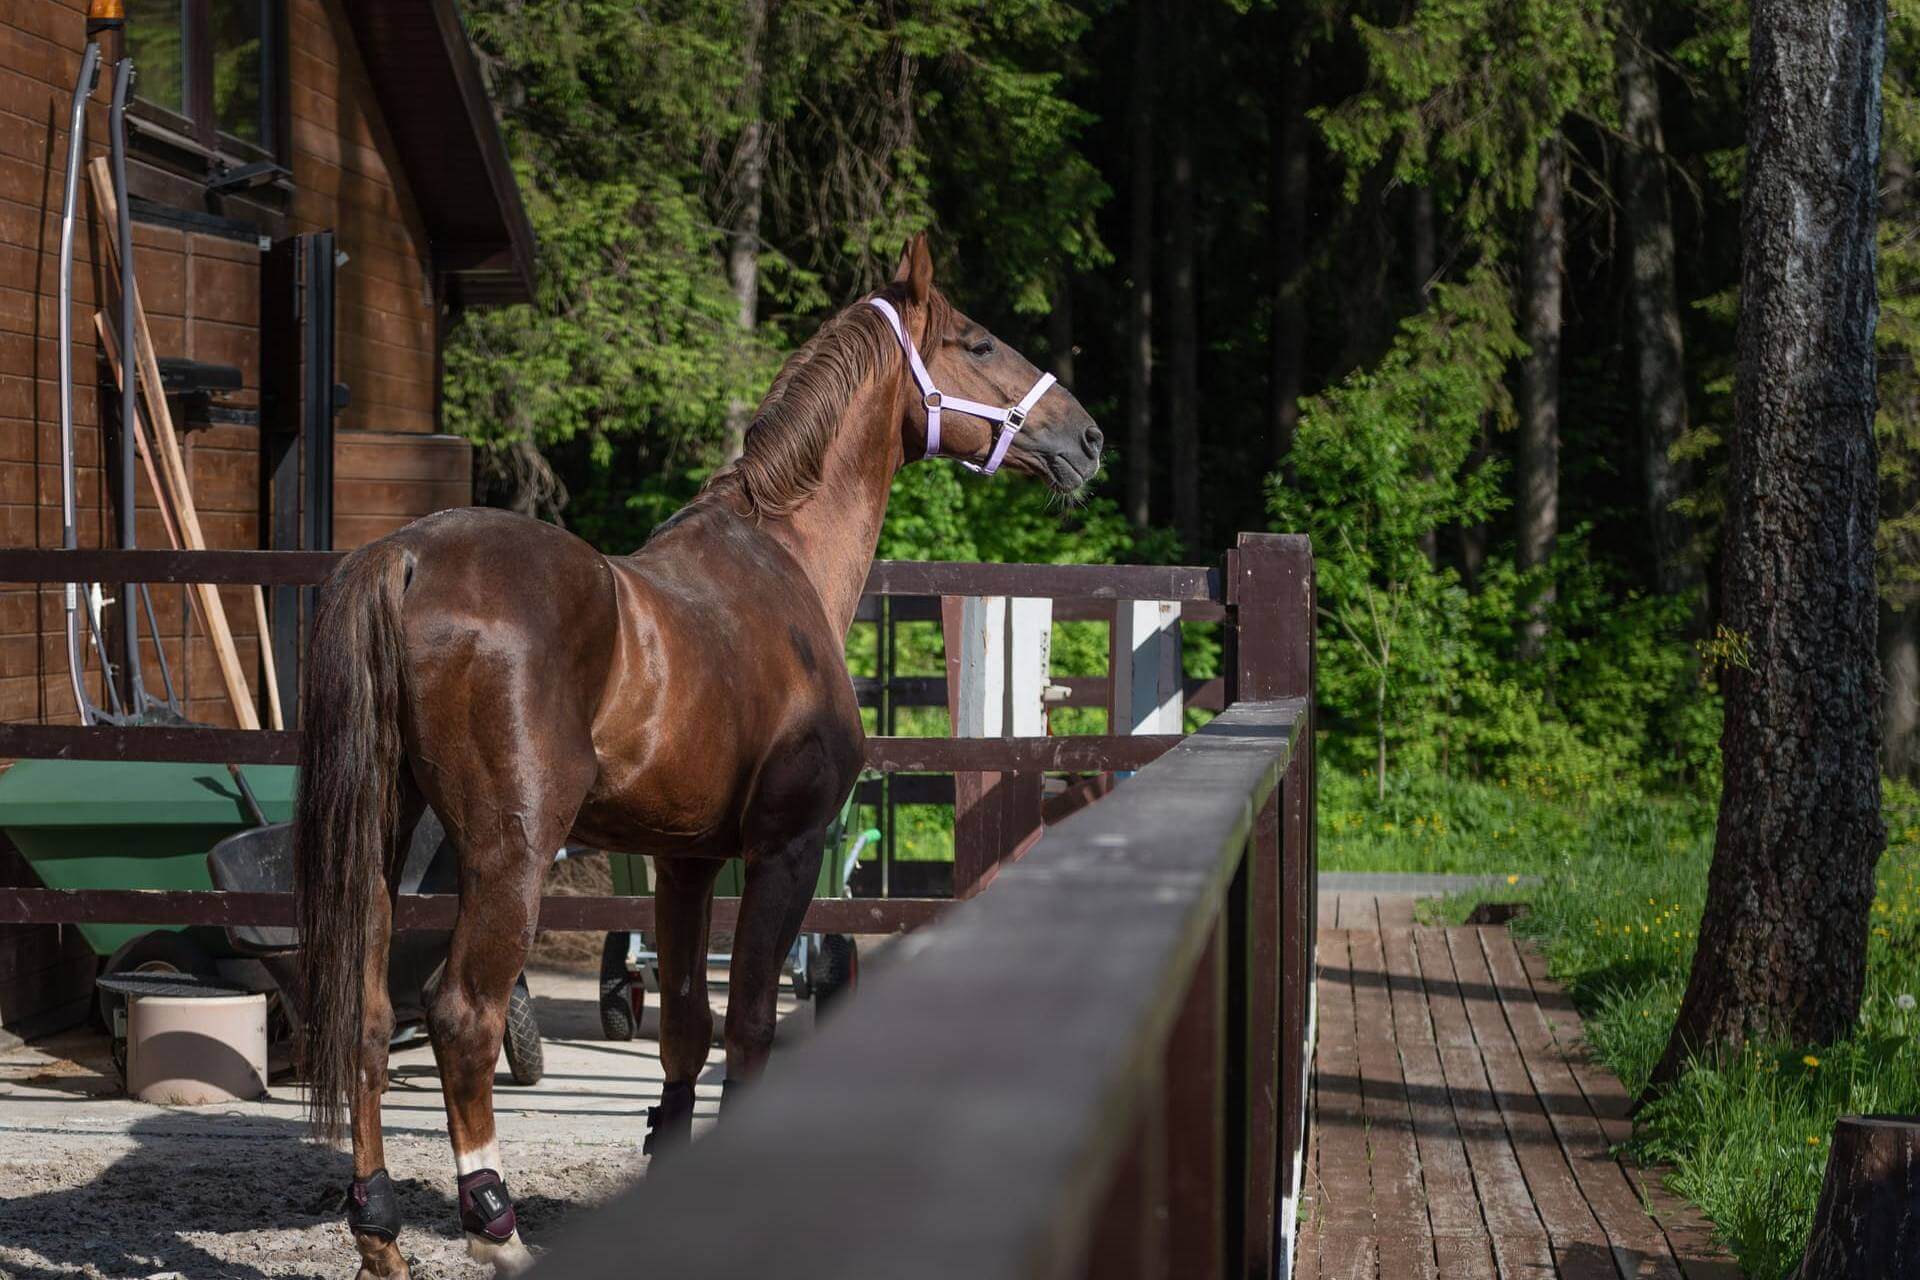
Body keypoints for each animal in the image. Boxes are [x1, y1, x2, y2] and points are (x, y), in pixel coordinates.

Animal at [284, 235, 1098, 1274]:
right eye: (978, 341)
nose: (1088, 439)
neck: (783, 562)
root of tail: (408, 557)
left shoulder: (684, 863)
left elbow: (683, 1028)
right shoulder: (786, 850)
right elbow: (749, 1023)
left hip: (383, 840)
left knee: (369, 1014)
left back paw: (378, 1225)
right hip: (510, 856)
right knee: (461, 1015)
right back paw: (495, 1225)